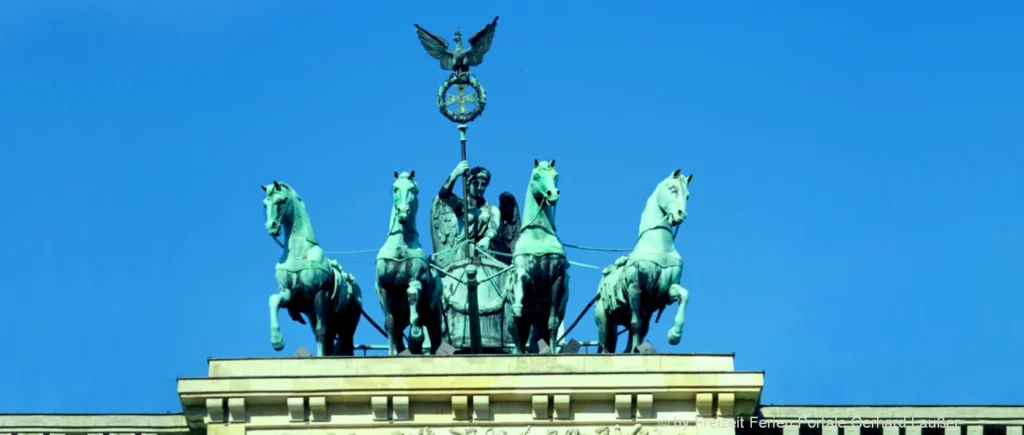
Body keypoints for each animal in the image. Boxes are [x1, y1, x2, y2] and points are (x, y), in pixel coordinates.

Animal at [262, 181, 362, 354]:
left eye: (280, 201)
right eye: (264, 204)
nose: (271, 226)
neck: (299, 252)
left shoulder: (320, 292)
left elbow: (321, 331)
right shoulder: (288, 293)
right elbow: (274, 299)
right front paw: (277, 340)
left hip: (347, 326)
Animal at [374, 169, 442, 352]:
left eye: (413, 189)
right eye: (395, 188)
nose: (403, 212)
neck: (400, 245)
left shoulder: (416, 279)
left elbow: (411, 294)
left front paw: (417, 332)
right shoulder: (383, 288)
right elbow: (389, 324)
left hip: (434, 318)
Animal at [509, 158, 573, 352]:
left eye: (556, 176)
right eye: (536, 176)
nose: (552, 194)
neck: (539, 235)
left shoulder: (557, 279)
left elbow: (553, 324)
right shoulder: (526, 272)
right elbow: (521, 277)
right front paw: (518, 305)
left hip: (539, 321)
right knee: (519, 339)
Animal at [598, 169, 692, 352]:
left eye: (688, 195)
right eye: (672, 188)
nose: (681, 215)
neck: (658, 246)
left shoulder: (664, 291)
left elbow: (684, 294)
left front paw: (675, 334)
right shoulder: (635, 287)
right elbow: (636, 324)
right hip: (605, 321)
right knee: (606, 346)